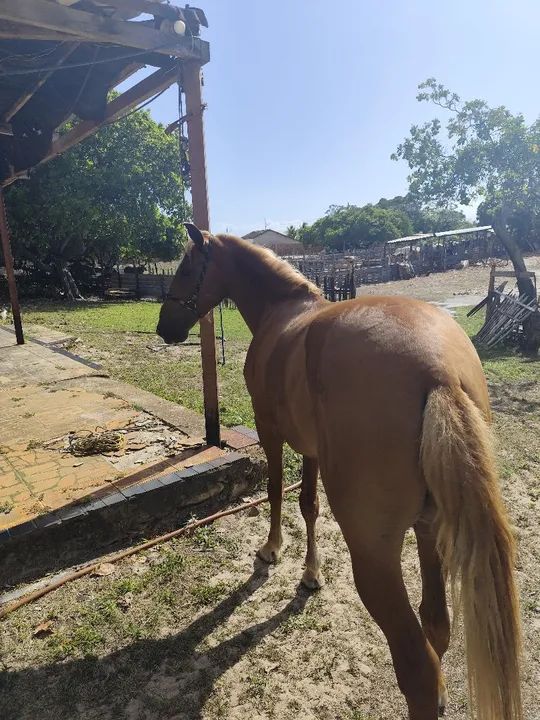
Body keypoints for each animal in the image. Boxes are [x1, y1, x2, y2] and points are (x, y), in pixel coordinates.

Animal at [157, 223, 522, 720]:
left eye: (185, 267)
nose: (164, 327)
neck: (281, 310)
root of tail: (440, 374)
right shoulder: (309, 447)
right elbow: (308, 505)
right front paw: (311, 573)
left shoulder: (271, 431)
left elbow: (276, 491)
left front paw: (271, 550)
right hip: (429, 531)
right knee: (436, 626)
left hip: (375, 559)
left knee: (418, 667)